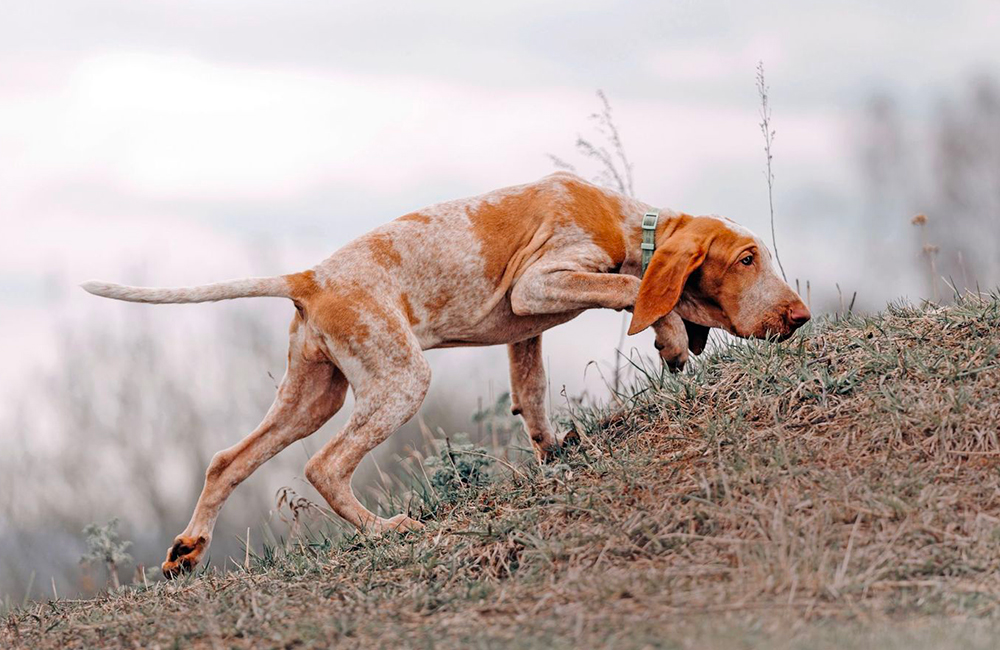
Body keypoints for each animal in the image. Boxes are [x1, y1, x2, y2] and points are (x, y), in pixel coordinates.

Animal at [80, 170, 812, 576]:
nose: (801, 316)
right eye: (747, 258)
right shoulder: (540, 284)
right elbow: (634, 290)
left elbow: (534, 402)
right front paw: (669, 336)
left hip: (313, 396)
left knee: (227, 461)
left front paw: (558, 454)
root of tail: (310, 277)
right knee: (324, 466)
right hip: (400, 382)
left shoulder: (527, 330)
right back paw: (384, 532)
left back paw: (190, 549)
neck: (625, 219)